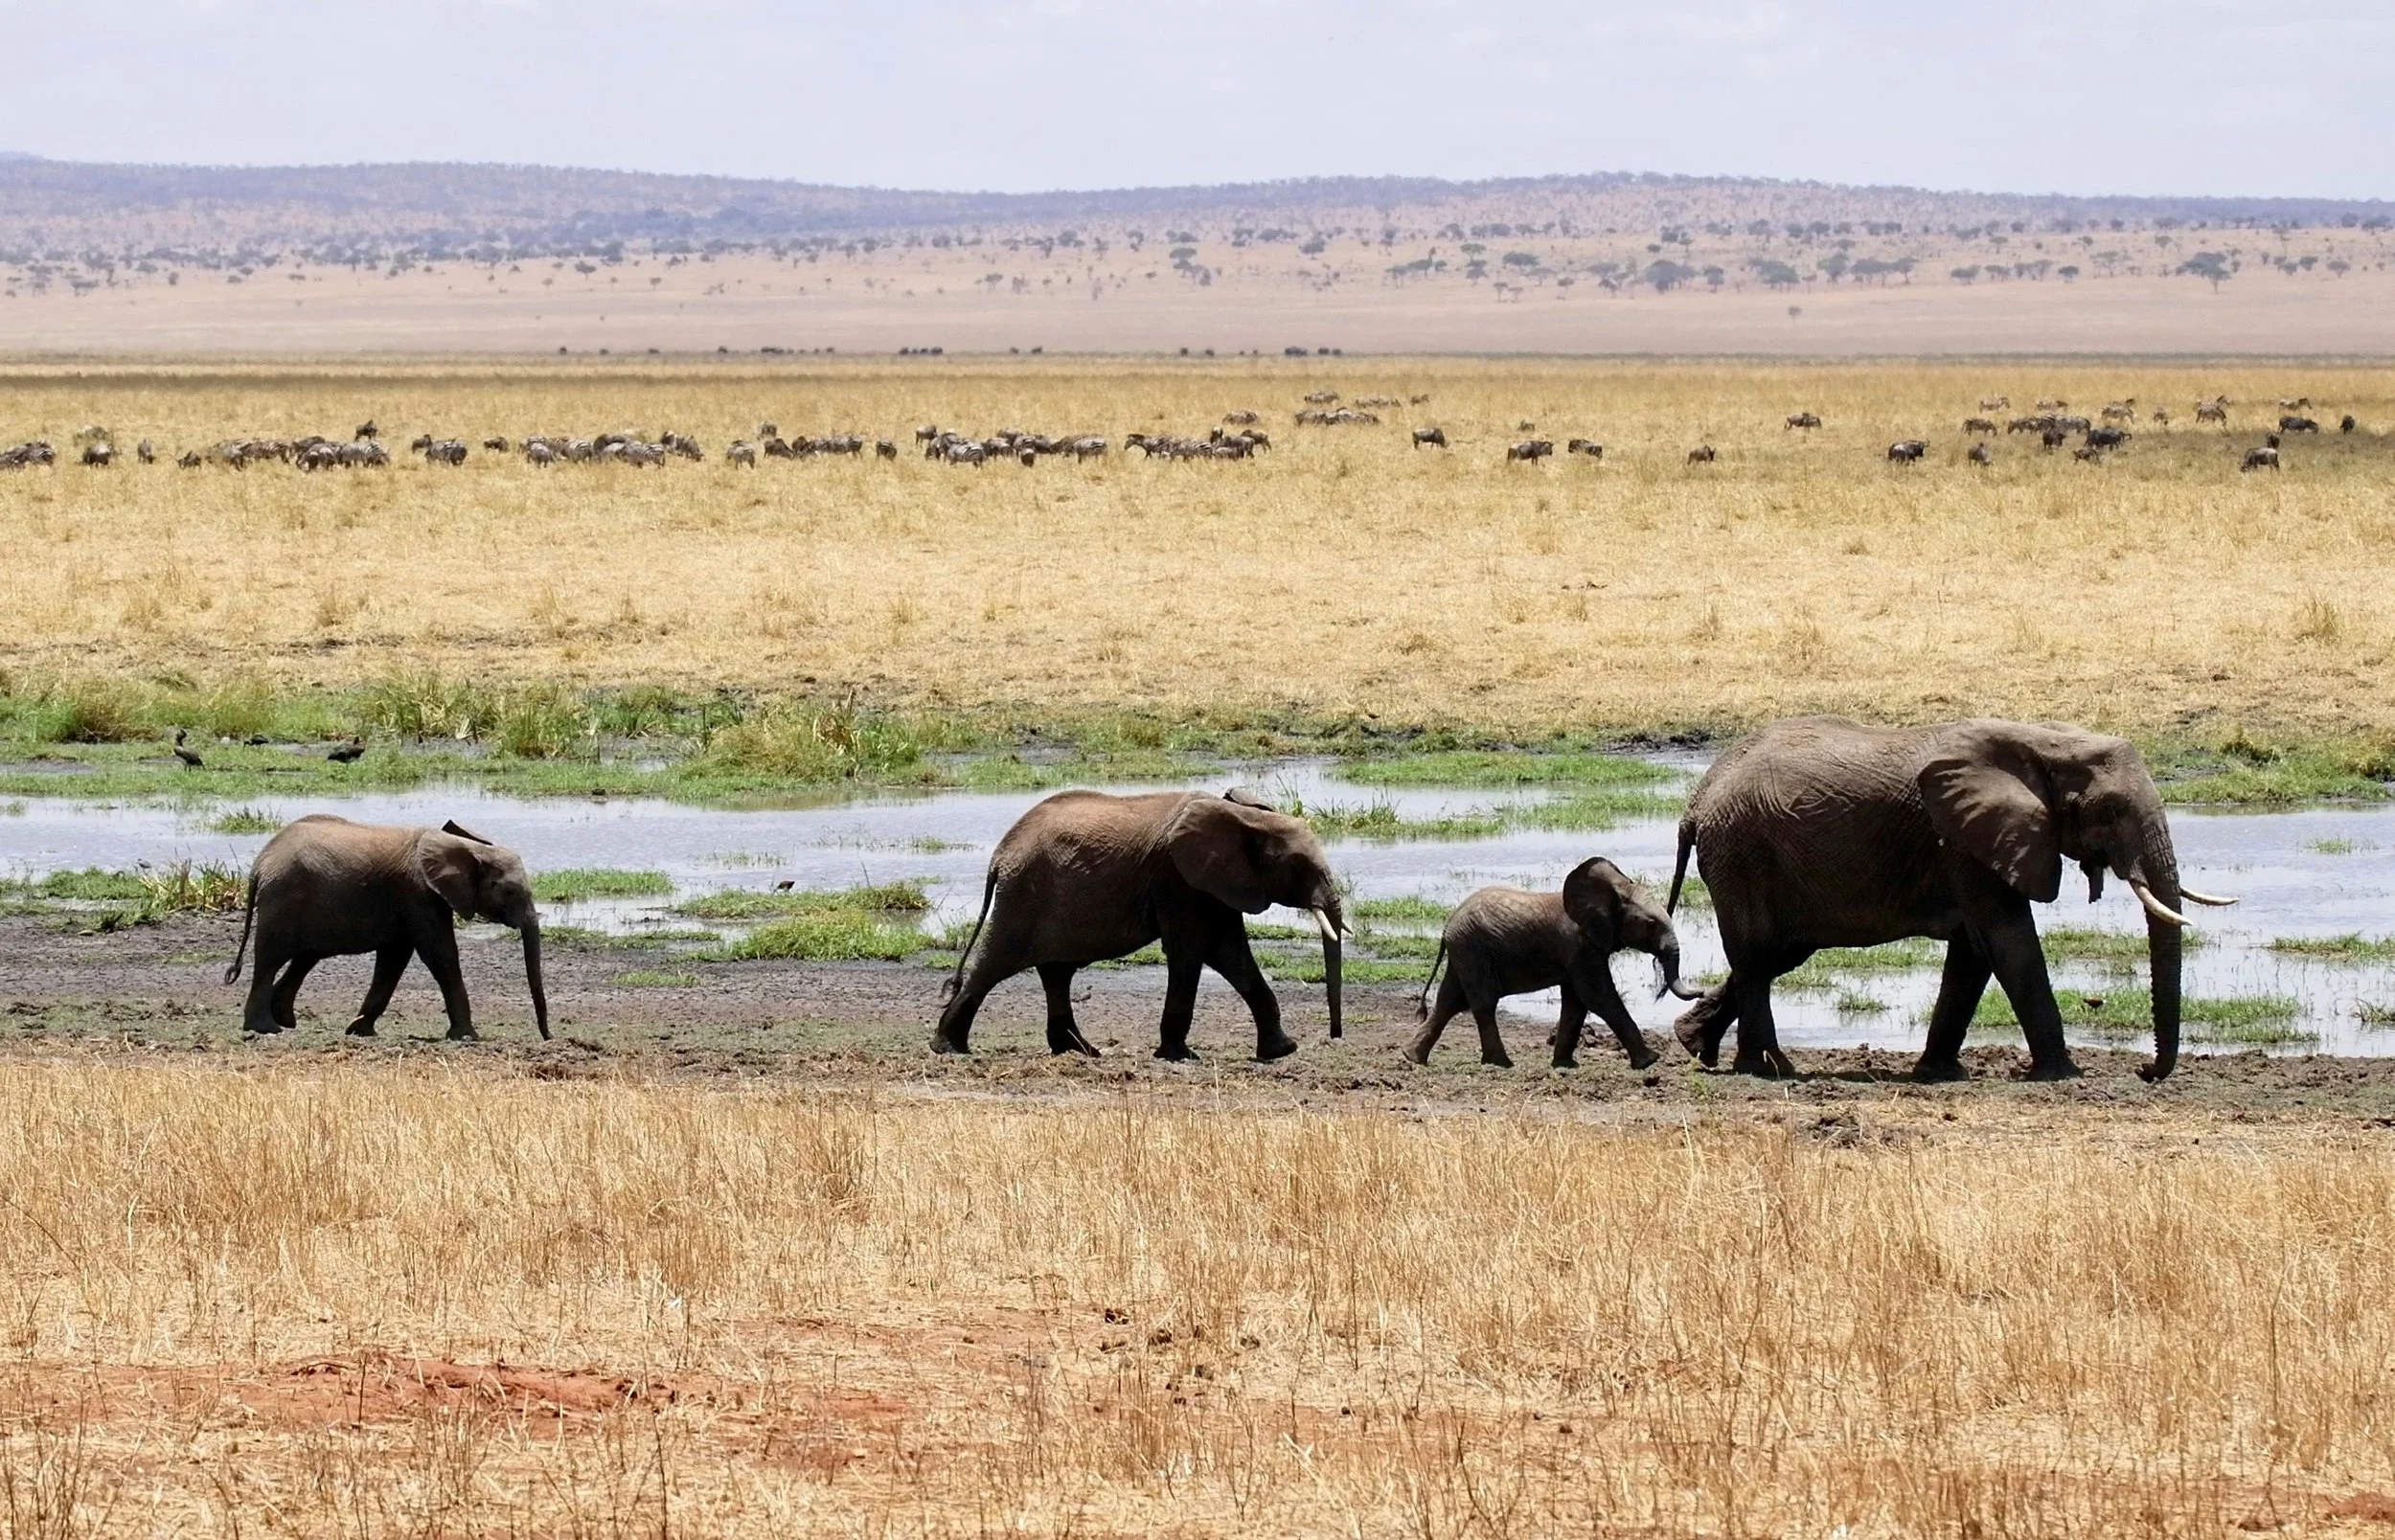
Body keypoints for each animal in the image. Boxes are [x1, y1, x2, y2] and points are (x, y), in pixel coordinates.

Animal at [225, 816, 550, 1041]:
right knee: (270, 958)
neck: (467, 847)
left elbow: (394, 959)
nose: (548, 1037)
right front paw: (468, 1037)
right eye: (508, 892)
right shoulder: (418, 893)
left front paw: (359, 1030)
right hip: (282, 899)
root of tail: (260, 863)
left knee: (304, 958)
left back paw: (284, 1021)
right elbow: (440, 955)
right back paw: (266, 1028)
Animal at [933, 789, 1346, 1061]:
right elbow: (1191, 950)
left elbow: (1230, 952)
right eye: (1297, 867)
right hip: (1023, 896)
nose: (1335, 1037)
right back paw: (948, 1048)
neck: (1247, 816)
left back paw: (1081, 1051)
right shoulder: (1179, 880)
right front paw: (1179, 1056)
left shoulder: (1214, 884)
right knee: (995, 964)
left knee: (1056, 974)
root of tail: (1000, 854)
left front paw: (1281, 1051)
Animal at [1405, 857, 1701, 1069]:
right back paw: (1501, 1064)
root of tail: (1447, 926)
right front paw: (1650, 1061)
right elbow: (1598, 997)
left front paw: (1565, 1065)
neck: (1613, 892)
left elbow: (1576, 1002)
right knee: (1482, 1003)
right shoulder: (1581, 947)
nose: (1700, 992)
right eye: (1651, 924)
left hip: (1465, 951)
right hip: (1473, 949)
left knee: (1450, 1001)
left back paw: (1412, 1057)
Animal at [1664, 717, 2233, 1083]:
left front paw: (1939, 1072)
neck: (2045, 742)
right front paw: (2064, 1075)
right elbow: (2009, 939)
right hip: (1743, 852)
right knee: (1758, 957)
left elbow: (1973, 953)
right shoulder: (1966, 841)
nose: (2145, 1071)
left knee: (1773, 956)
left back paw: (1701, 1049)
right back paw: (1769, 1069)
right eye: (2110, 811)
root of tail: (1696, 801)